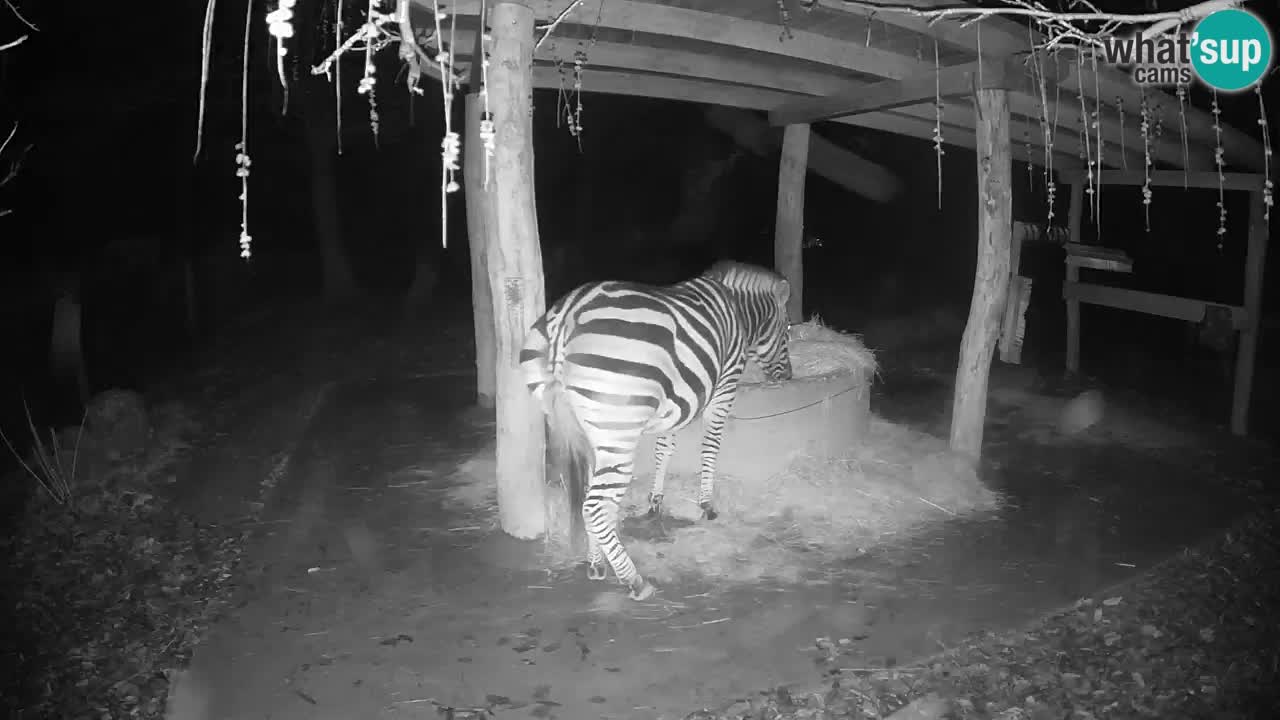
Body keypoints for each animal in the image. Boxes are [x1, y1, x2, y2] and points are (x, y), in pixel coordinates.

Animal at [519, 260, 788, 597]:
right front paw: (707, 505)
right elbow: (710, 446)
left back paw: (597, 563)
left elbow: (664, 449)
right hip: (618, 433)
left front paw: (655, 502)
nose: (788, 378)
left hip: (586, 429)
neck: (737, 309)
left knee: (588, 500)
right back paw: (634, 580)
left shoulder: (676, 401)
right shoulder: (725, 385)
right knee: (595, 506)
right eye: (787, 332)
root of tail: (566, 317)